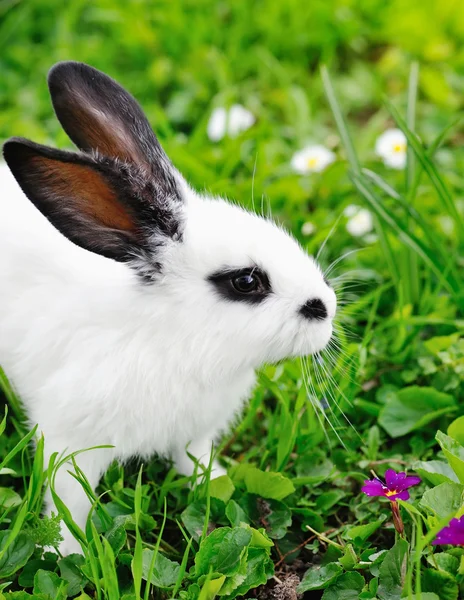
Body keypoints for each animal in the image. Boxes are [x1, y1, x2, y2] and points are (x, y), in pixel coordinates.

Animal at [0, 61, 336, 552]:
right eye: (246, 281)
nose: (327, 309)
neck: (176, 340)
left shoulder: (195, 436)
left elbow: (197, 465)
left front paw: (216, 486)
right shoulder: (70, 444)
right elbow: (69, 505)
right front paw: (65, 551)